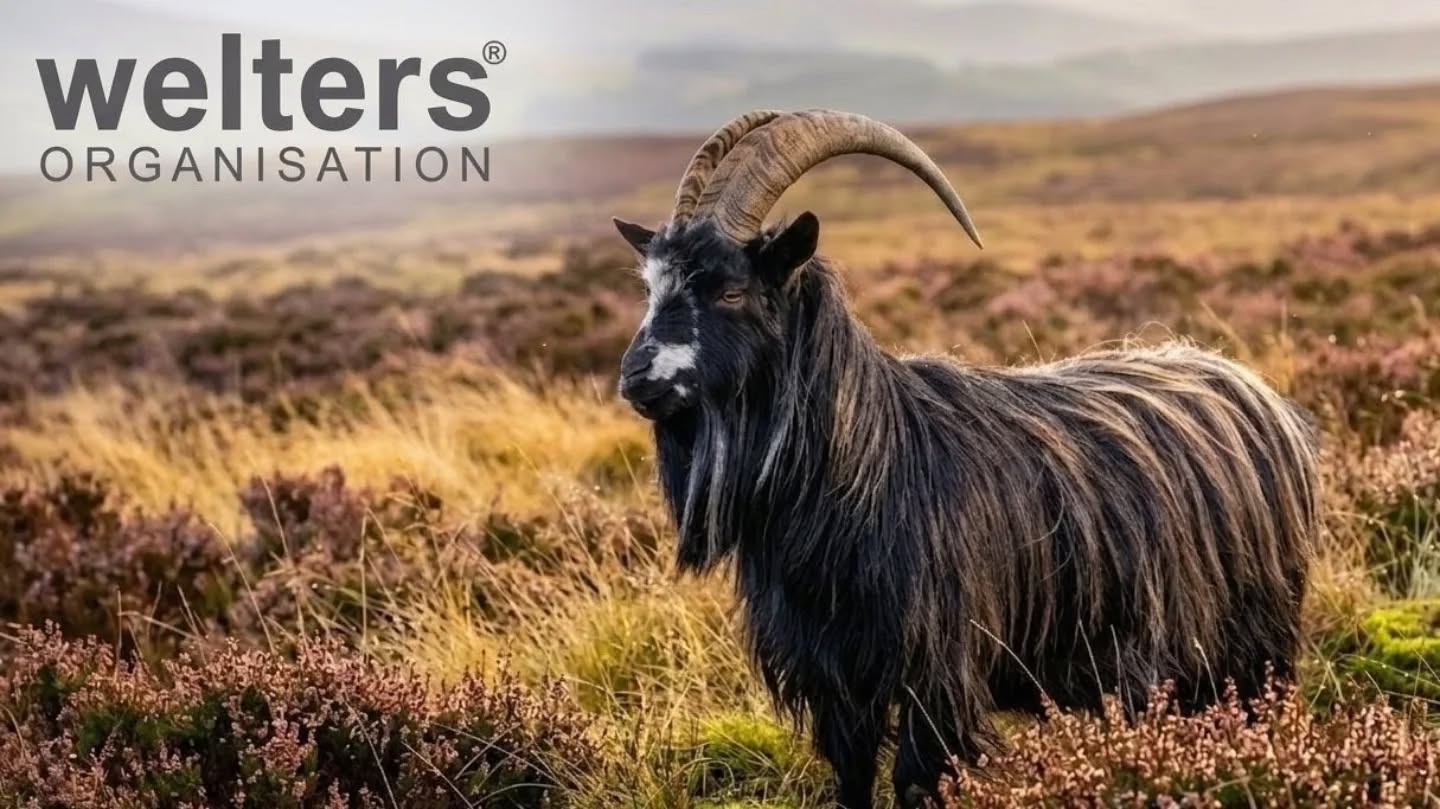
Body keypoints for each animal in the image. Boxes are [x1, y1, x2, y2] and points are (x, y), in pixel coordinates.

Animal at [611, 109, 1319, 809]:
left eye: (731, 291)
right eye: (651, 287)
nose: (636, 377)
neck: (869, 466)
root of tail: (1263, 398)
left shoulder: (937, 674)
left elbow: (915, 781)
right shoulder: (836, 680)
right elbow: (852, 780)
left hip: (1254, 649)